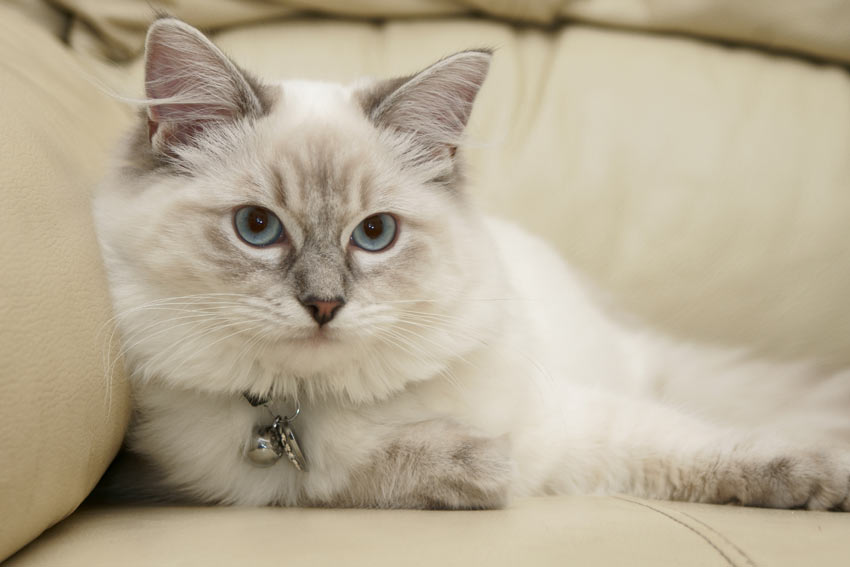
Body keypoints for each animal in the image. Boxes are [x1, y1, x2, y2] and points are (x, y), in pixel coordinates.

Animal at [93, 17, 848, 512]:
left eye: (375, 234)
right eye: (257, 228)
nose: (325, 305)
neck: (305, 407)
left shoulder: (570, 428)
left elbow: (709, 449)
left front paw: (825, 482)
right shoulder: (212, 472)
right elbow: (372, 474)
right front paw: (473, 469)